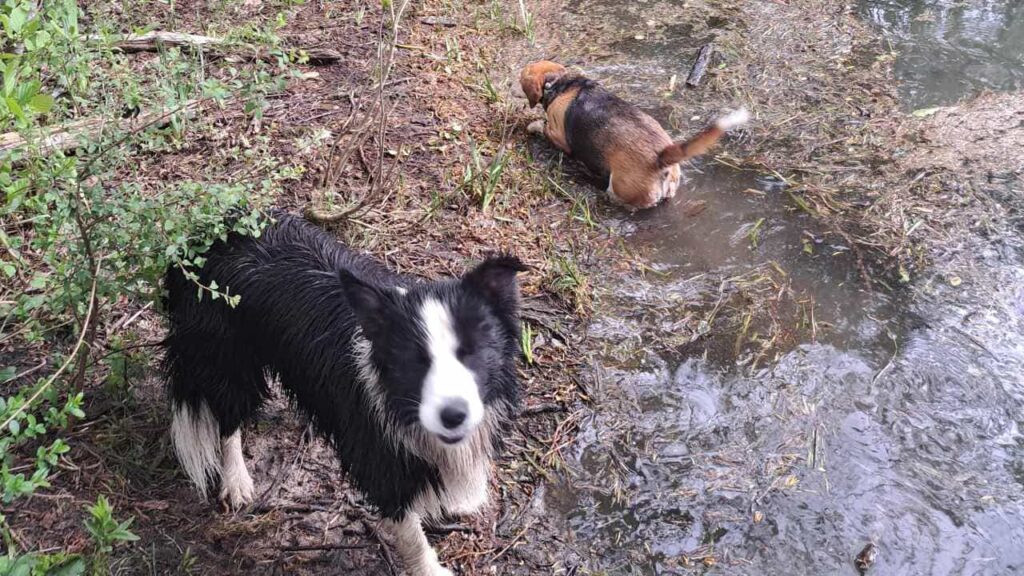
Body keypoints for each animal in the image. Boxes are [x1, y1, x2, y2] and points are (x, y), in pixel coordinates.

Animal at [164, 212, 528, 573]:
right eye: (415, 360)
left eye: (472, 351)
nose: (454, 416)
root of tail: (213, 229)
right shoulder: (376, 459)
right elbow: (409, 531)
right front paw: (429, 569)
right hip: (226, 355)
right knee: (228, 414)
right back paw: (236, 481)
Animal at [524, 59, 749, 208]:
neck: (559, 82)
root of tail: (661, 156)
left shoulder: (558, 134)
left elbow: (544, 127)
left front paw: (533, 126)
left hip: (620, 188)